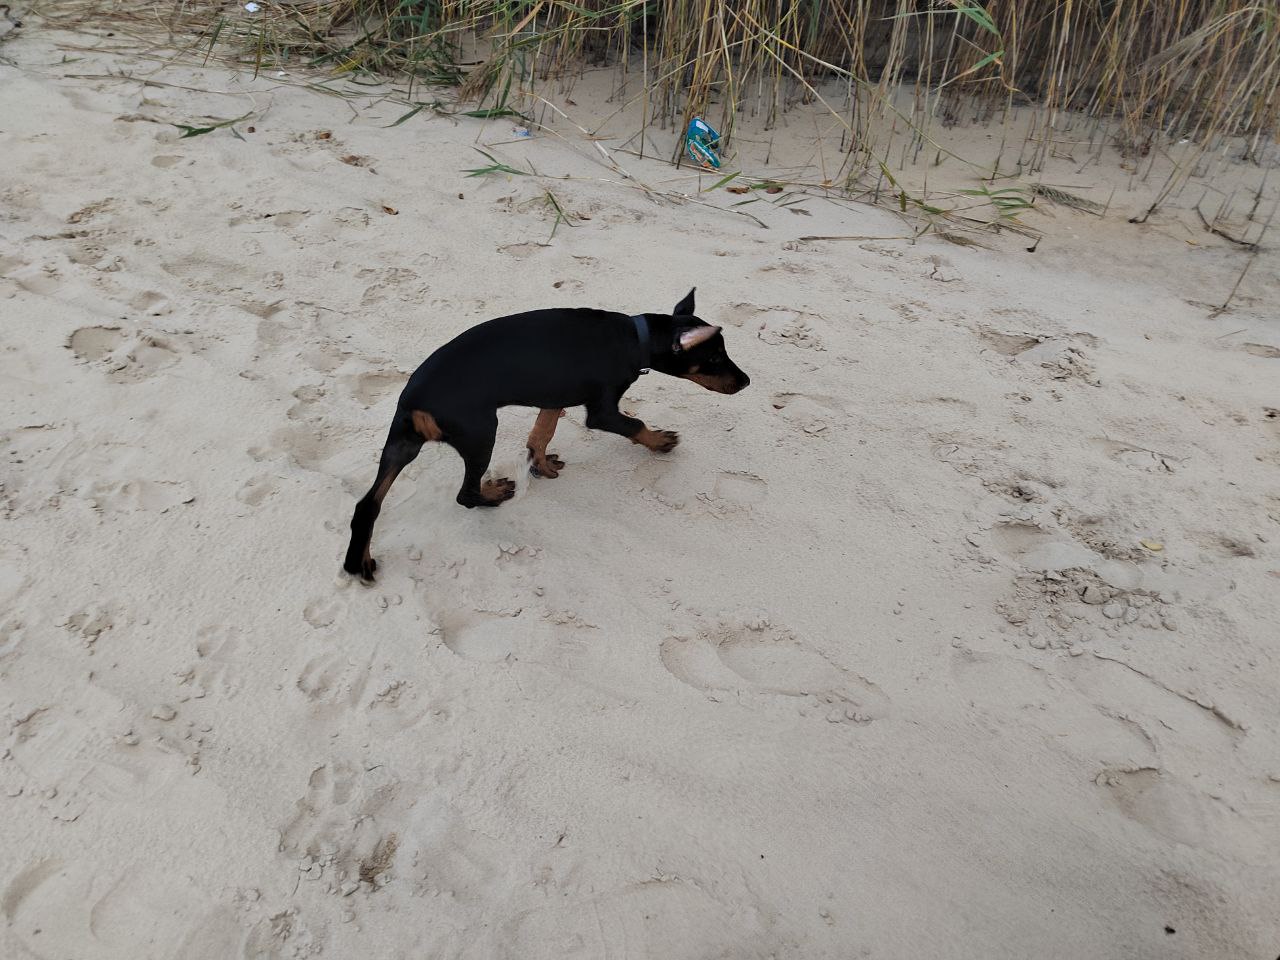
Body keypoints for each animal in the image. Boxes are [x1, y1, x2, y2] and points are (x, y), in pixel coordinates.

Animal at [345, 289, 747, 583]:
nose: (746, 382)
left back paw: (357, 562)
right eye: (715, 358)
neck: (636, 338)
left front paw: (539, 463)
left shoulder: (555, 398)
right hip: (481, 433)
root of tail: (414, 404)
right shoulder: (602, 412)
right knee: (465, 494)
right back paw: (493, 494)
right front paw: (661, 441)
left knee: (368, 505)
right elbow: (635, 426)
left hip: (402, 445)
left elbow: (542, 432)